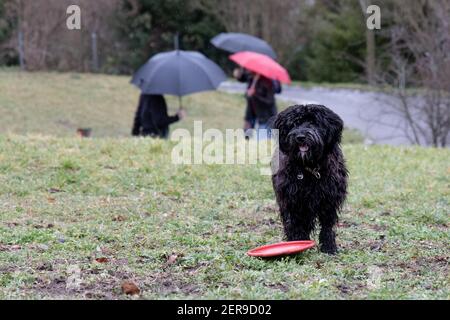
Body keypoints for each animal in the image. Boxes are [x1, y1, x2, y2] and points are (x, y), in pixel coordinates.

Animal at [270, 104, 348, 254]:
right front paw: (296, 243)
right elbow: (294, 223)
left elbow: (327, 226)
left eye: (313, 123)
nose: (300, 137)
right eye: (295, 124)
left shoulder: (329, 200)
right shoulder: (292, 200)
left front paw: (329, 246)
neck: (310, 168)